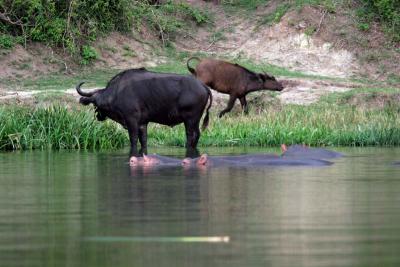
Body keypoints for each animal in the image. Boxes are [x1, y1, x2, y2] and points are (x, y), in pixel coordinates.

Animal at [76, 68, 212, 158]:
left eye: (95, 104)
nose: (98, 117)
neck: (117, 92)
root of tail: (203, 86)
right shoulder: (143, 124)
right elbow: (144, 141)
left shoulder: (132, 121)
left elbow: (133, 139)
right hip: (195, 120)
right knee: (197, 135)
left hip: (190, 120)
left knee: (190, 135)